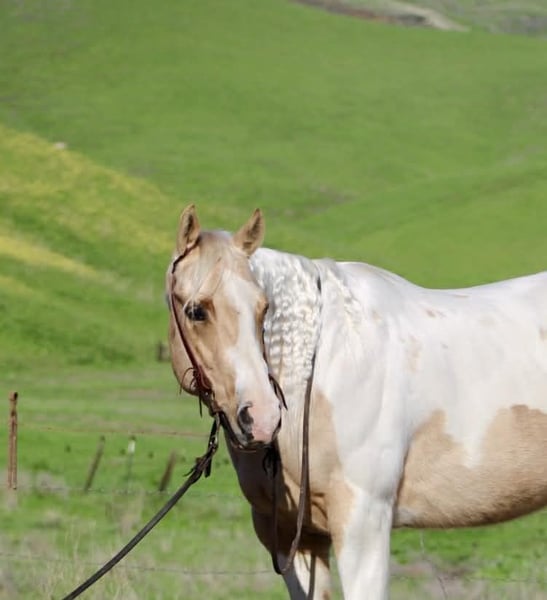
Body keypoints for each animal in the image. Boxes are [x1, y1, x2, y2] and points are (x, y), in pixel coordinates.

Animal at [166, 205, 547, 599]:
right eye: (196, 311)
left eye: (263, 308)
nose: (261, 417)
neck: (322, 365)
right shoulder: (294, 539)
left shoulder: (363, 526)